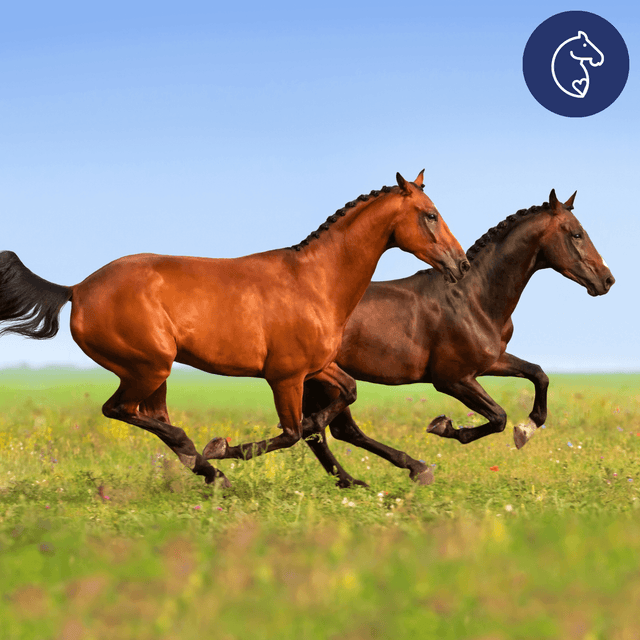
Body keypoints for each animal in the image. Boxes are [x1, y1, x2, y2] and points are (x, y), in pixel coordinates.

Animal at [0, 171, 469, 487]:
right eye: (430, 215)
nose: (461, 264)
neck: (315, 281)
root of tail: (77, 289)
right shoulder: (285, 376)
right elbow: (292, 432)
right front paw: (227, 448)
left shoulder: (315, 368)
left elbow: (344, 397)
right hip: (148, 368)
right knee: (122, 411)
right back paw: (209, 463)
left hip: (153, 373)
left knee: (151, 418)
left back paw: (209, 473)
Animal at [301, 190, 615, 487]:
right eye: (576, 233)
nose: (607, 279)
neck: (473, 298)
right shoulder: (452, 379)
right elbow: (499, 416)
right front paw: (443, 426)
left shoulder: (491, 362)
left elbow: (538, 375)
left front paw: (526, 430)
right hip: (324, 381)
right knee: (333, 430)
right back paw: (407, 471)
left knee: (327, 432)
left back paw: (360, 480)